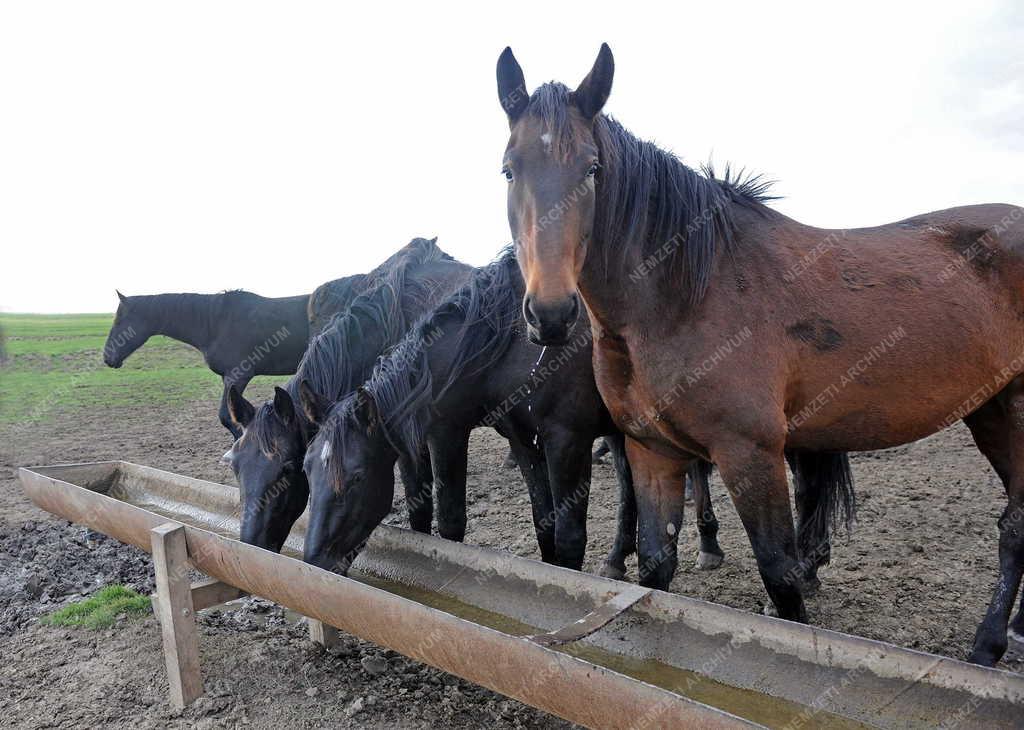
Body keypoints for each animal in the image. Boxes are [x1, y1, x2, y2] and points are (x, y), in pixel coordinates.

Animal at [104, 288, 313, 438]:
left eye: (119, 321)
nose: (107, 357)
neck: (218, 322)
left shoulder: (238, 376)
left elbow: (227, 417)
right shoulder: (228, 379)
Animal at [224, 239, 471, 552]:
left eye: (288, 469)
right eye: (234, 466)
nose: (251, 550)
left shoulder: (447, 433)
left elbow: (451, 522)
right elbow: (419, 512)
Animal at [493, 42, 1024, 663]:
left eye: (593, 169)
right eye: (509, 169)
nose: (552, 314)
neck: (686, 294)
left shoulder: (750, 453)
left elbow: (780, 574)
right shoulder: (652, 452)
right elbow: (655, 566)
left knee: (1015, 526)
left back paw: (988, 646)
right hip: (990, 410)